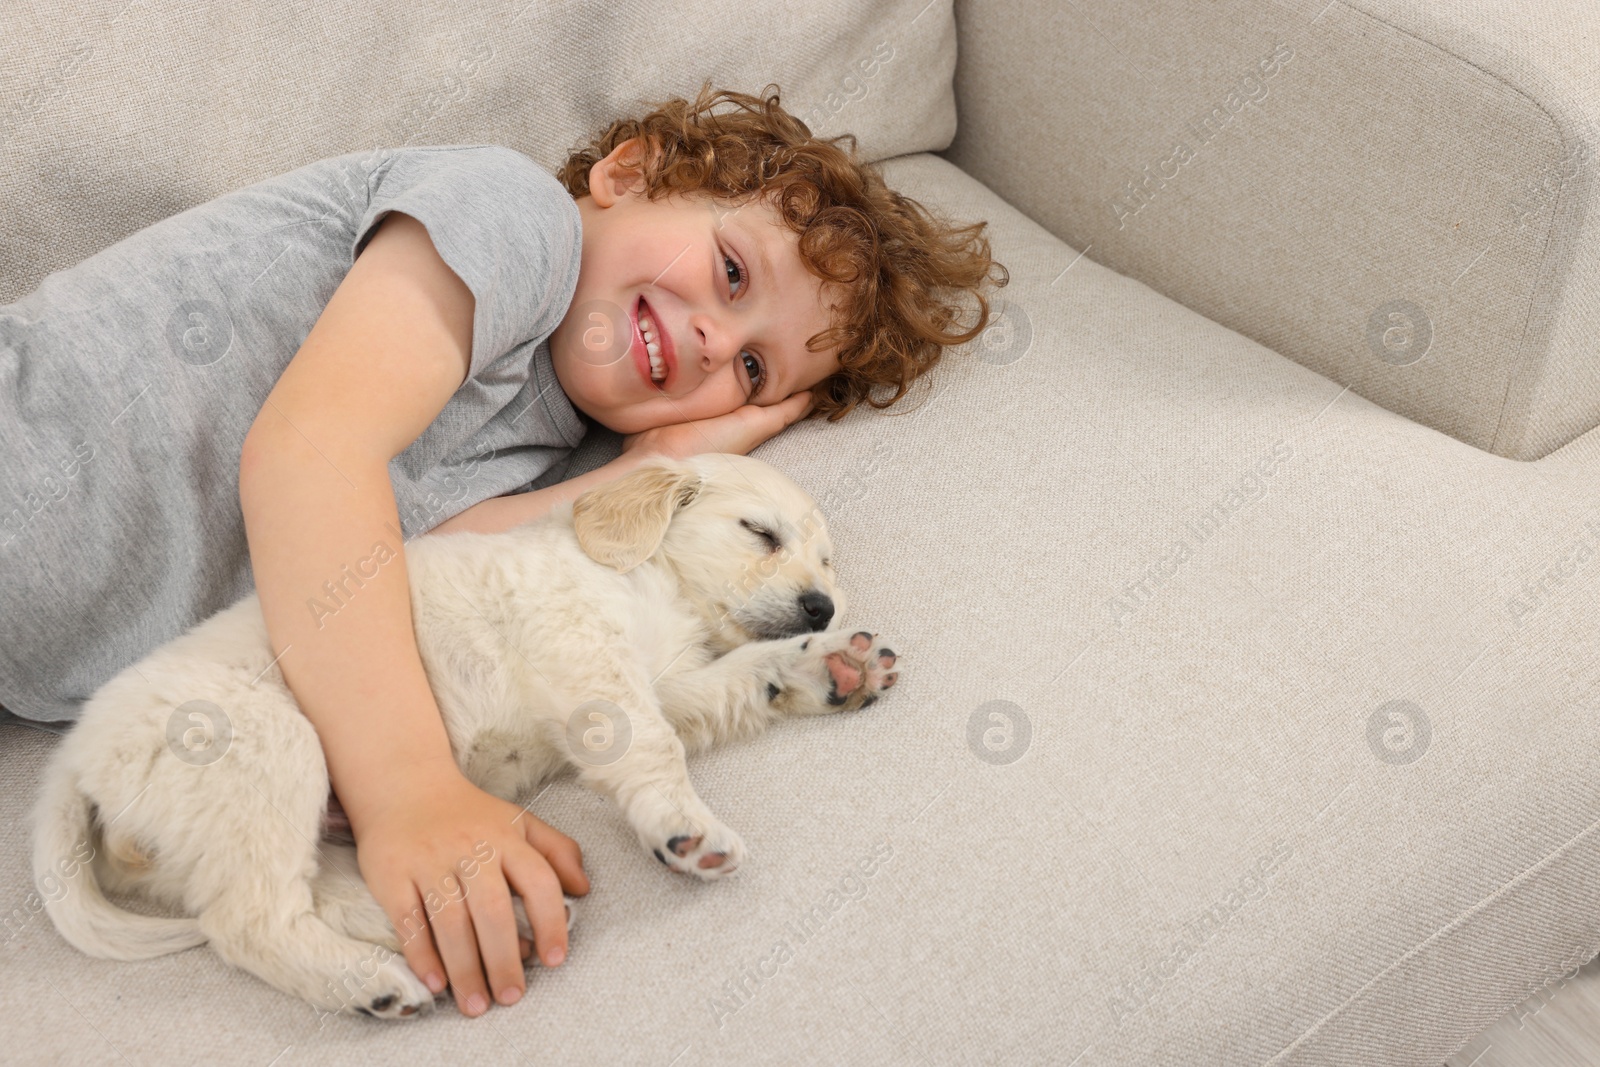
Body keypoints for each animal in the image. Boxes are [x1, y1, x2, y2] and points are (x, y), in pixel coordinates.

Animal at [28, 454, 902, 1017]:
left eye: (827, 559)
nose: (823, 605)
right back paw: (367, 982)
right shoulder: (591, 659)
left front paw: (822, 667)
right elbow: (656, 748)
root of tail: (73, 759)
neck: (656, 585)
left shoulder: (667, 682)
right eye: (760, 532)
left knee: (312, 891)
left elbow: (736, 680)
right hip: (269, 747)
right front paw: (685, 828)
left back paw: (468, 925)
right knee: (247, 922)